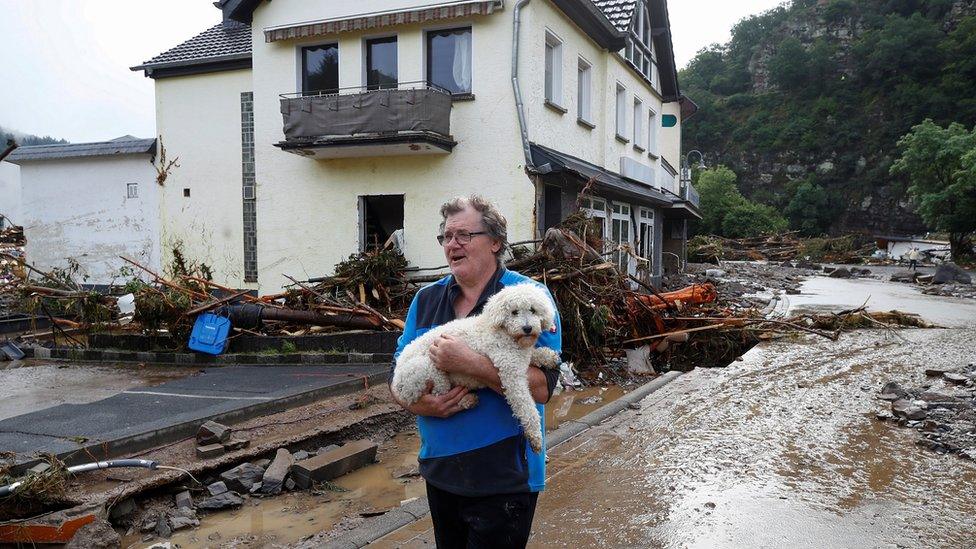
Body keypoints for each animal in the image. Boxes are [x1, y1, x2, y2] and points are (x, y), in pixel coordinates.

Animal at [388, 280, 556, 452]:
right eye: (514, 312)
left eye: (533, 310)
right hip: (428, 369)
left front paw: (548, 356)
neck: (507, 334)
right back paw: (466, 400)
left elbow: (533, 354)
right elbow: (526, 406)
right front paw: (535, 436)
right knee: (440, 396)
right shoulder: (510, 373)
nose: (527, 328)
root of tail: (398, 385)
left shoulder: (521, 356)